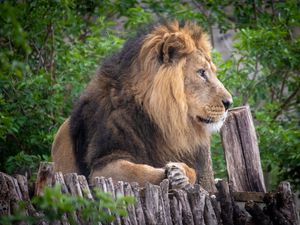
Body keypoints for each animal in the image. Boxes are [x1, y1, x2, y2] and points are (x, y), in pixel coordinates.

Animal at [51, 20, 233, 190]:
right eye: (201, 72)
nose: (229, 103)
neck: (162, 122)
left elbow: (195, 173)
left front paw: (181, 173)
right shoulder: (102, 163)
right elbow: (139, 172)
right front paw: (176, 173)